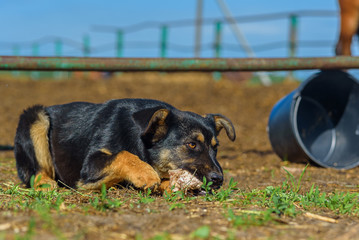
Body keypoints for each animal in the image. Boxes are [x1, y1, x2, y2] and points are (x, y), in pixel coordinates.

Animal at [14, 98, 236, 192]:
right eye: (191, 145)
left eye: (215, 147)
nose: (219, 180)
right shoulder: (90, 165)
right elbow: (123, 154)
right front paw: (145, 174)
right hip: (36, 118)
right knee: (35, 172)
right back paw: (46, 183)